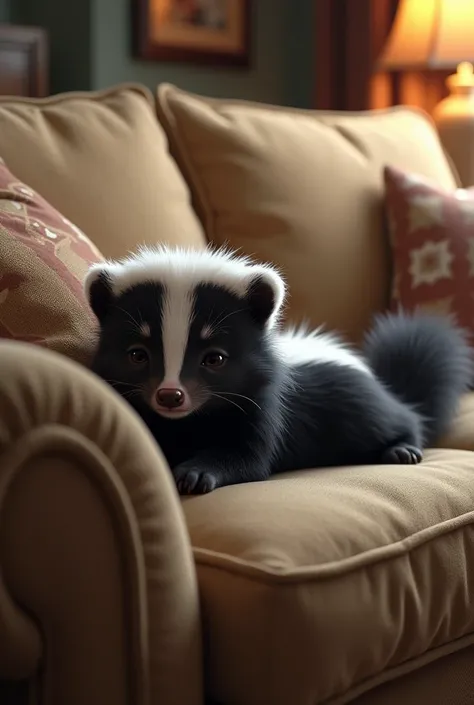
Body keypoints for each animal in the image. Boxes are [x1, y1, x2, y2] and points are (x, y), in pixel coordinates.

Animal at [83, 248, 472, 496]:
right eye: (137, 354)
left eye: (215, 358)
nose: (170, 394)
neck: (191, 422)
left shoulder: (265, 407)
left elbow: (248, 458)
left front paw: (196, 473)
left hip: (367, 409)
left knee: (406, 419)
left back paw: (402, 449)